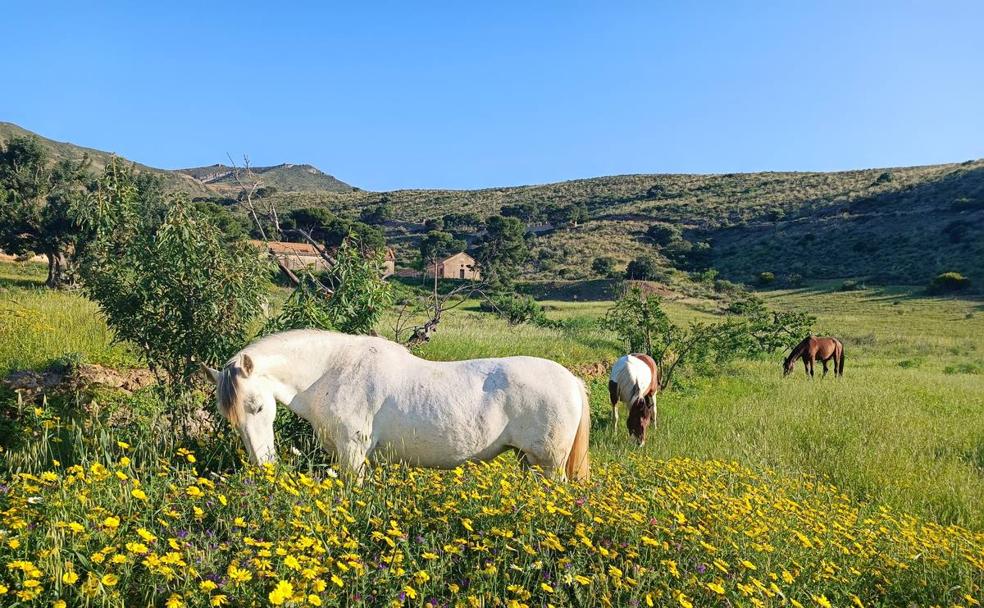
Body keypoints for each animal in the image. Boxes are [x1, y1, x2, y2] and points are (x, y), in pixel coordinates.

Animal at [202, 329, 590, 481]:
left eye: (256, 407)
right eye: (230, 418)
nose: (263, 465)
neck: (333, 371)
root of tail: (572, 381)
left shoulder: (353, 454)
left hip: (549, 465)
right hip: (529, 462)